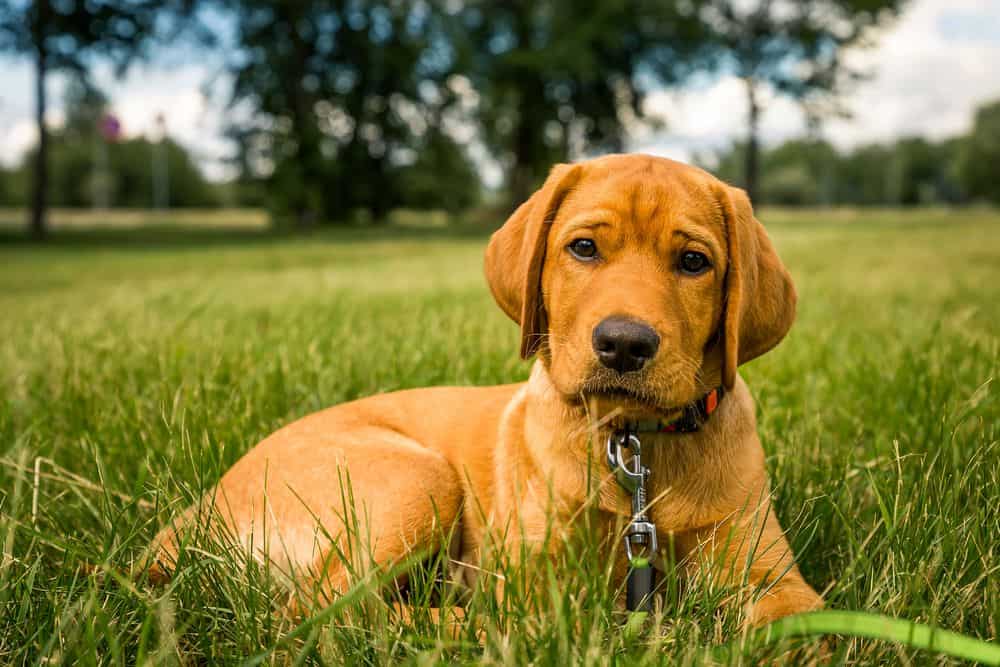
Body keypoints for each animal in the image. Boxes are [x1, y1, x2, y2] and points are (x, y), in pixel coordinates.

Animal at [148, 155, 820, 628]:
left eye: (693, 262)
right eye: (583, 247)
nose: (624, 345)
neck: (634, 447)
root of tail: (198, 509)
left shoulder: (771, 575)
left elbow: (806, 626)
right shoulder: (531, 579)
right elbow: (552, 621)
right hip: (418, 481)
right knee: (326, 612)